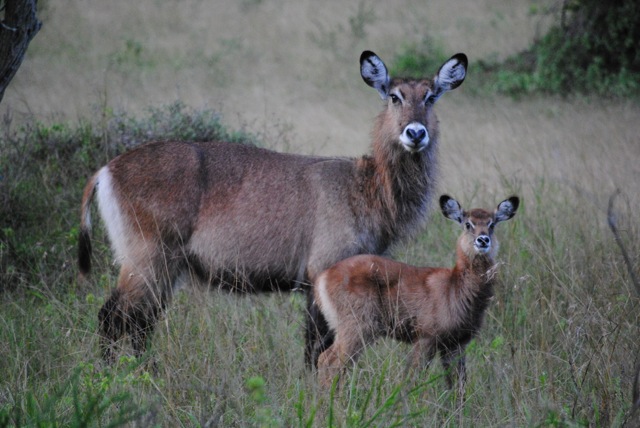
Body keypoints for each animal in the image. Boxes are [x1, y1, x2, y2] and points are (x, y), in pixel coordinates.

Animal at [80, 49, 468, 364]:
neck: (366, 187)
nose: (415, 133)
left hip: (165, 268)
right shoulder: (321, 273)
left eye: (431, 97)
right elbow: (314, 348)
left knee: (139, 324)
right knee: (112, 318)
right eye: (394, 96)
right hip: (147, 259)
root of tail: (106, 169)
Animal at [316, 195, 520, 394]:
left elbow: (458, 386)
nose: (483, 240)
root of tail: (323, 278)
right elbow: (412, 379)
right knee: (329, 361)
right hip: (358, 326)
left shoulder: (456, 343)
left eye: (492, 224)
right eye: (468, 224)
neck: (455, 288)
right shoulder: (425, 337)